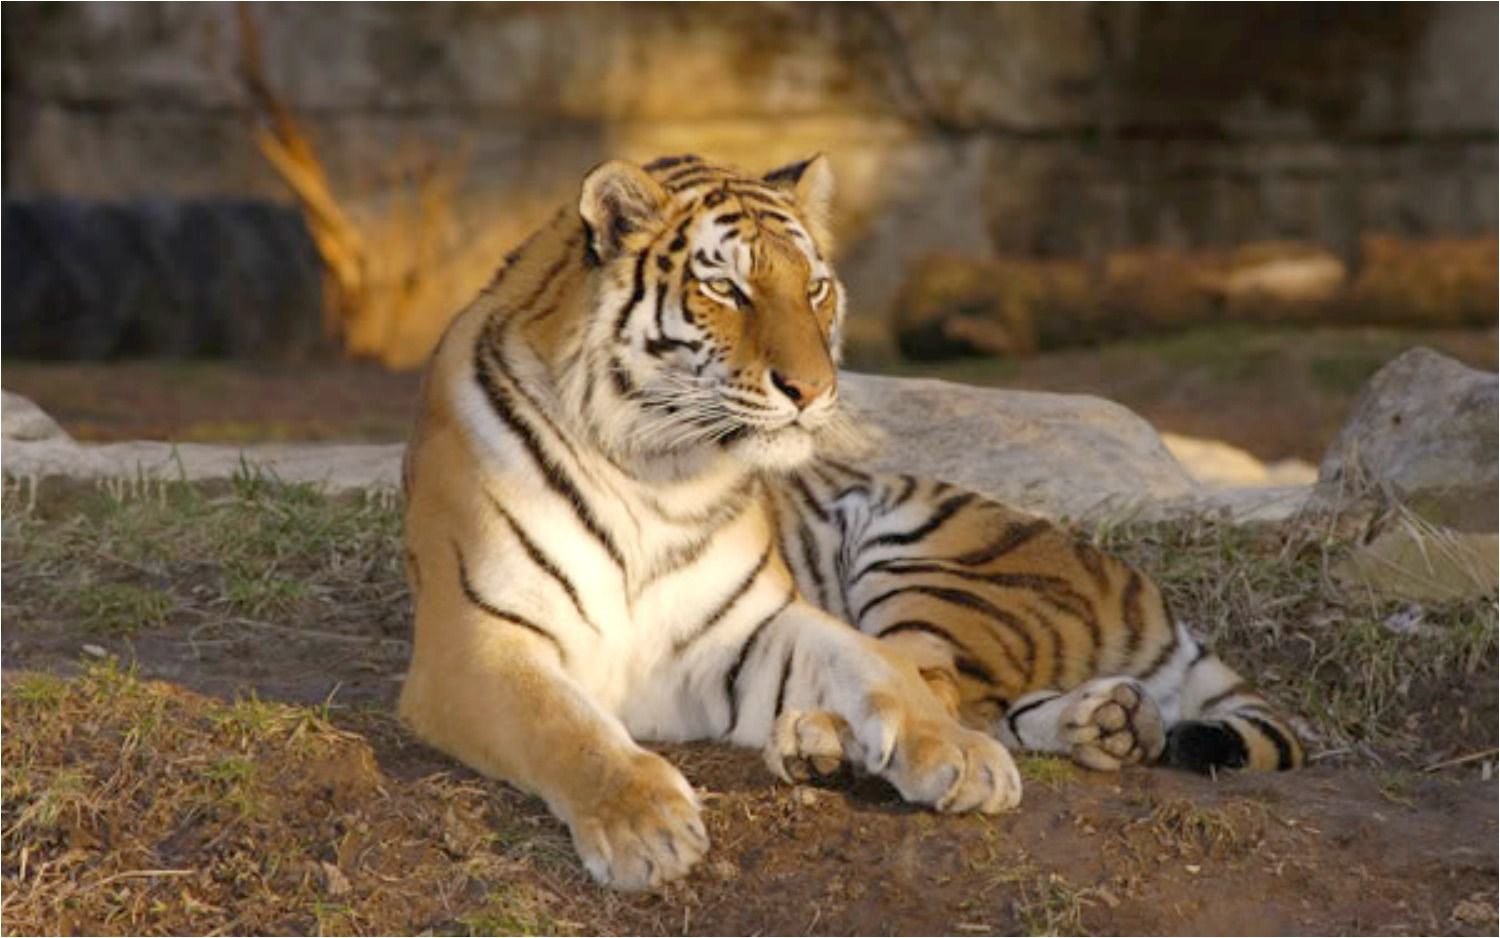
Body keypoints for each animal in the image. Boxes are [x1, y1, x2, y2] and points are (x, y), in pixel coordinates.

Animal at [399, 150, 1302, 888]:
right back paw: (1106, 724)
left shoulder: (747, 627)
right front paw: (645, 828)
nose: (815, 390)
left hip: (920, 558)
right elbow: (566, 727)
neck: (657, 467)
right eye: (724, 287)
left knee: (955, 685)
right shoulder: (474, 643)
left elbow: (880, 670)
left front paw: (960, 761)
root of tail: (1135, 582)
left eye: (815, 287)